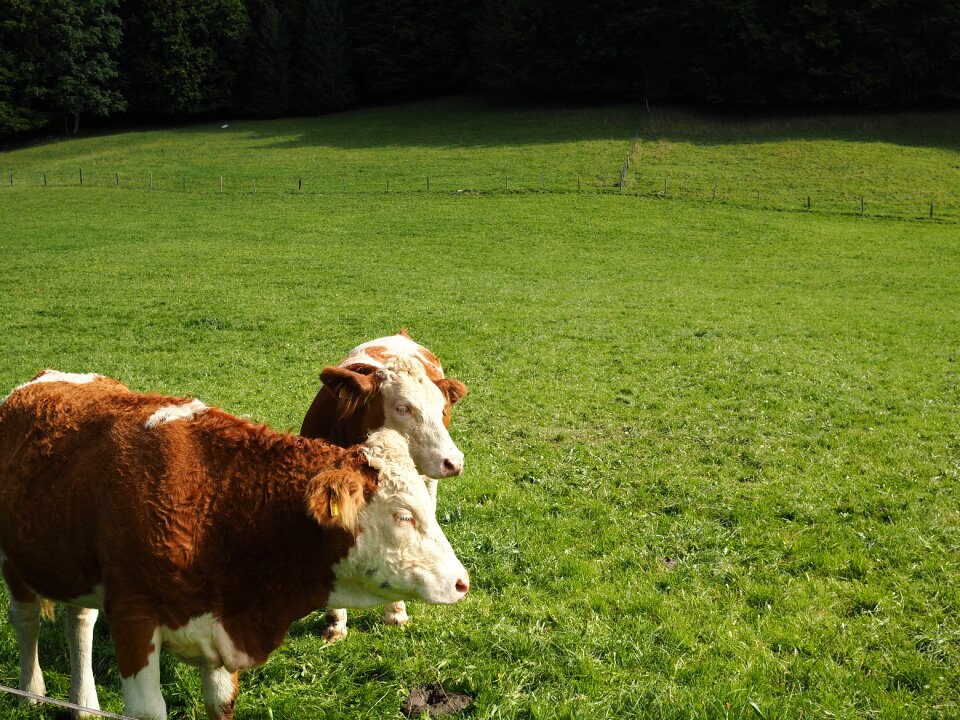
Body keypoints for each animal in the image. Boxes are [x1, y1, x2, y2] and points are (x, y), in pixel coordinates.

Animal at [0, 372, 466, 720]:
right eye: (403, 515)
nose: (462, 582)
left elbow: (221, 704)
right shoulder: (134, 616)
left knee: (79, 621)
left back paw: (84, 704)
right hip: (14, 560)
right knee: (26, 620)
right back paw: (31, 691)